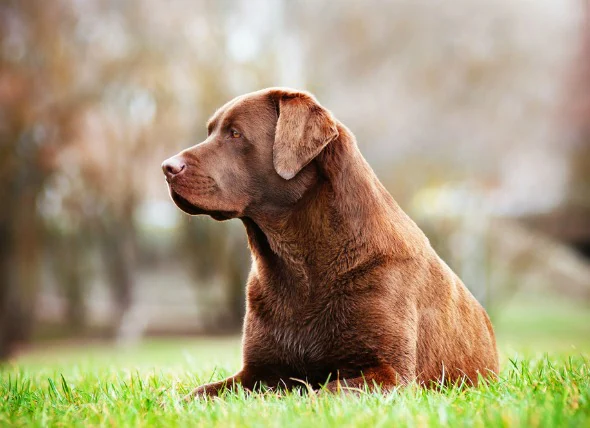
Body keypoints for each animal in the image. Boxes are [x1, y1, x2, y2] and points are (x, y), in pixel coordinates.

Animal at [161, 88, 500, 398]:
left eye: (235, 133)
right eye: (210, 132)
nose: (167, 167)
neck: (300, 266)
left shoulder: (392, 374)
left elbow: (320, 392)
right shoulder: (256, 371)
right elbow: (201, 393)